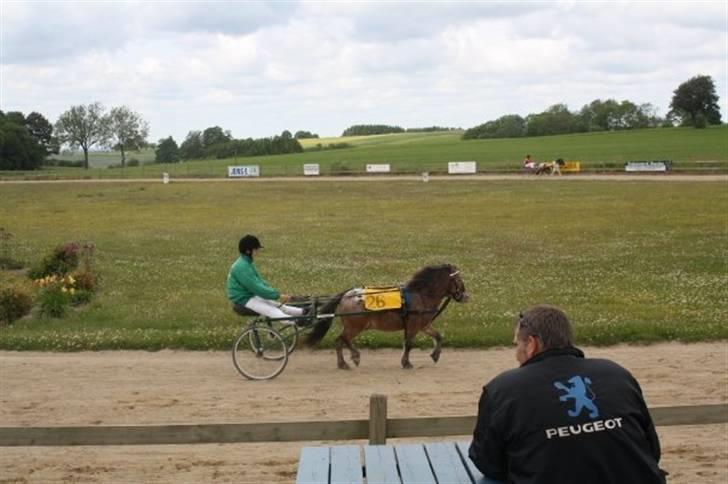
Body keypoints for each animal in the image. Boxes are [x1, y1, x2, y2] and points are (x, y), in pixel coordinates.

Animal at [304, 262, 470, 368]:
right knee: (342, 339)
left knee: (340, 341)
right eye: (458, 279)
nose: (466, 296)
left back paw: (343, 363)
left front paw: (435, 355)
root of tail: (346, 295)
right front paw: (406, 363)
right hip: (355, 326)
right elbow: (409, 344)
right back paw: (354, 357)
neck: (420, 295)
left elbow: (438, 336)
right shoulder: (413, 325)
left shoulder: (423, 324)